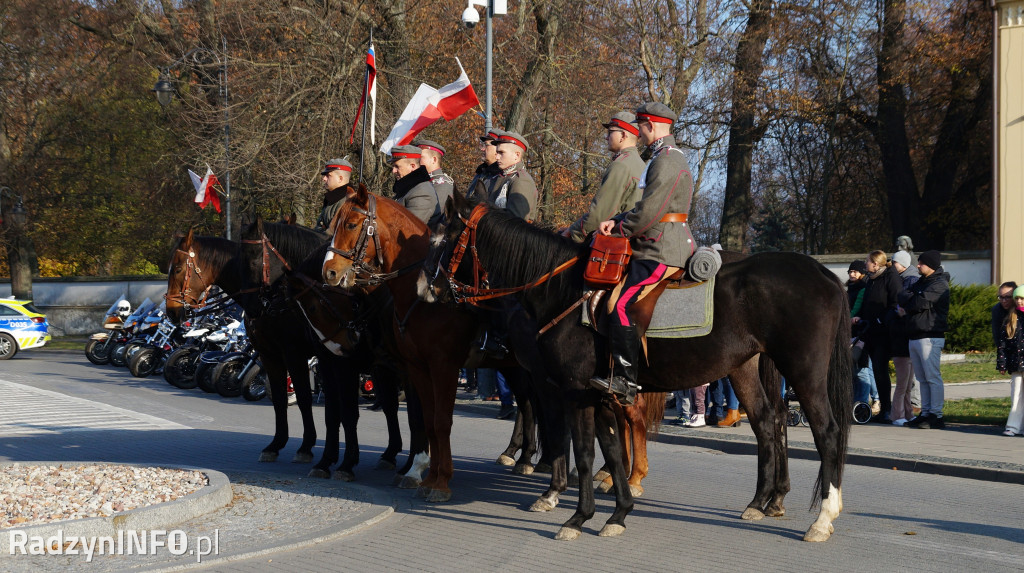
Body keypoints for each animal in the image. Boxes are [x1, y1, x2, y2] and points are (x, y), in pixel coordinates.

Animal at [419, 193, 851, 540]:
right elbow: (610, 449)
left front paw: (576, 514)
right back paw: (761, 501)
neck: (563, 293)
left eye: (441, 239)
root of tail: (822, 272)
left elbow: (582, 450)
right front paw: (617, 513)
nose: (425, 288)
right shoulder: (597, 393)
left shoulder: (569, 390)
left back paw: (822, 518)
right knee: (767, 423)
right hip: (745, 367)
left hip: (804, 371)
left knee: (826, 432)